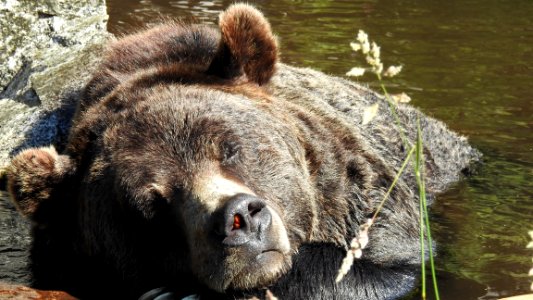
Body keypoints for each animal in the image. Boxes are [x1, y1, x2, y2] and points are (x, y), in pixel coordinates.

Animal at [0, 2, 480, 300]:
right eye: (150, 203)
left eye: (231, 148)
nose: (240, 220)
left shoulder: (373, 204)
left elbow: (378, 267)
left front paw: (180, 291)